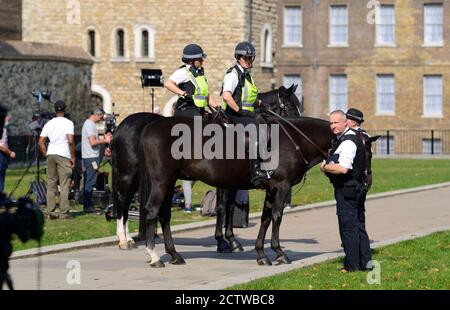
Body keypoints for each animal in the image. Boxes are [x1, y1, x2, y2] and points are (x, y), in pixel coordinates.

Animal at [109, 85, 300, 249]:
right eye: (291, 105)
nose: (297, 127)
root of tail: (121, 126)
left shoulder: (231, 180)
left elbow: (229, 207)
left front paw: (229, 240)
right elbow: (222, 207)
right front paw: (224, 241)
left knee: (126, 200)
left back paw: (128, 238)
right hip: (128, 173)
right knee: (122, 198)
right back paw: (123, 239)